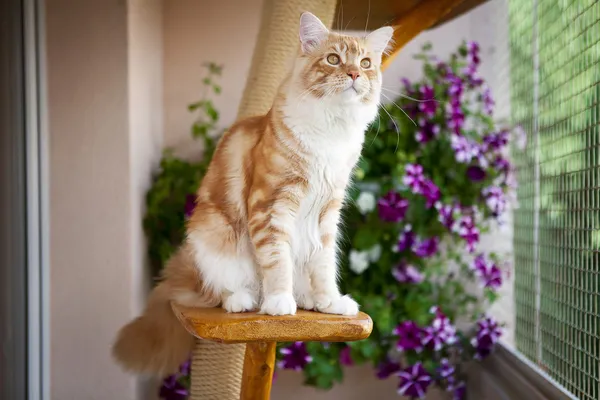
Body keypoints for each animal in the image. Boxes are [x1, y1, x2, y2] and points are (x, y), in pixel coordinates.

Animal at [112, 10, 394, 376]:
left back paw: (307, 299)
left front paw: (330, 301)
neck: (331, 131)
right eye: (333, 59)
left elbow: (324, 264)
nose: (355, 74)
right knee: (220, 290)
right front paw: (279, 302)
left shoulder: (327, 213)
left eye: (365, 62)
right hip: (211, 233)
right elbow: (276, 260)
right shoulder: (271, 204)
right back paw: (245, 300)